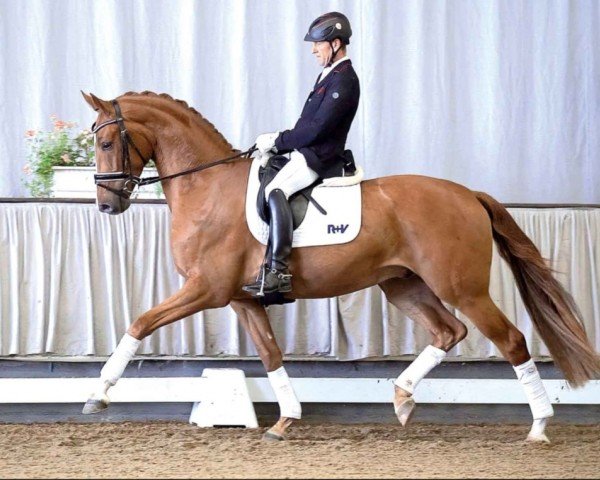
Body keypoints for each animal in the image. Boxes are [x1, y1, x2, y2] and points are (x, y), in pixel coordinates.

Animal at [81, 90, 600, 442]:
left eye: (106, 143)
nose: (106, 206)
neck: (207, 187)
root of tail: (468, 194)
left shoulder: (205, 289)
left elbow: (140, 322)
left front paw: (98, 393)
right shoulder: (241, 299)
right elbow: (270, 355)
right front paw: (286, 419)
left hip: (462, 288)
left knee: (510, 340)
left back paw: (539, 426)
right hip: (404, 286)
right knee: (449, 332)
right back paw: (402, 398)